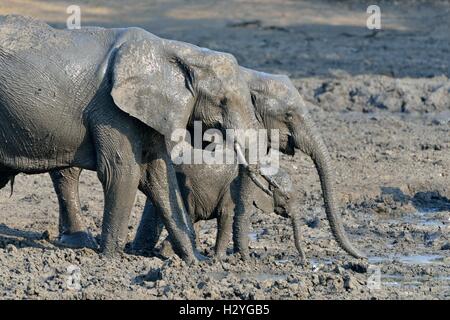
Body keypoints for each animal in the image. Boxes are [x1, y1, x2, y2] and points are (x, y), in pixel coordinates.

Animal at [0, 14, 260, 262]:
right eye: (222, 101)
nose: (243, 258)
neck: (175, 50)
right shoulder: (110, 109)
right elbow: (123, 172)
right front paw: (109, 259)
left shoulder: (148, 113)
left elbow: (159, 177)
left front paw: (196, 261)